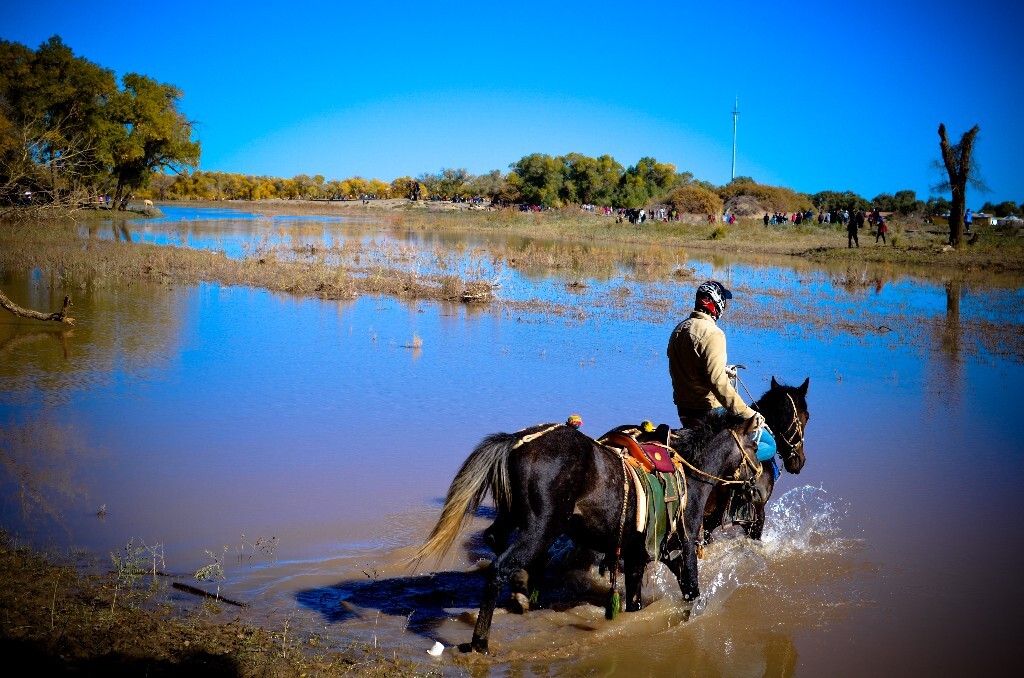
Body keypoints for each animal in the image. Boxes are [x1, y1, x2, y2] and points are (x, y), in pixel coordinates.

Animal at [413, 411, 761, 655]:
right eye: (756, 445)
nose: (757, 484)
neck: (688, 473)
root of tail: (519, 440)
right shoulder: (684, 548)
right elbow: (692, 591)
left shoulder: (636, 556)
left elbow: (635, 601)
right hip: (541, 528)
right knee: (499, 568)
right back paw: (481, 641)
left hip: (515, 520)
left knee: (495, 543)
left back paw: (521, 595)